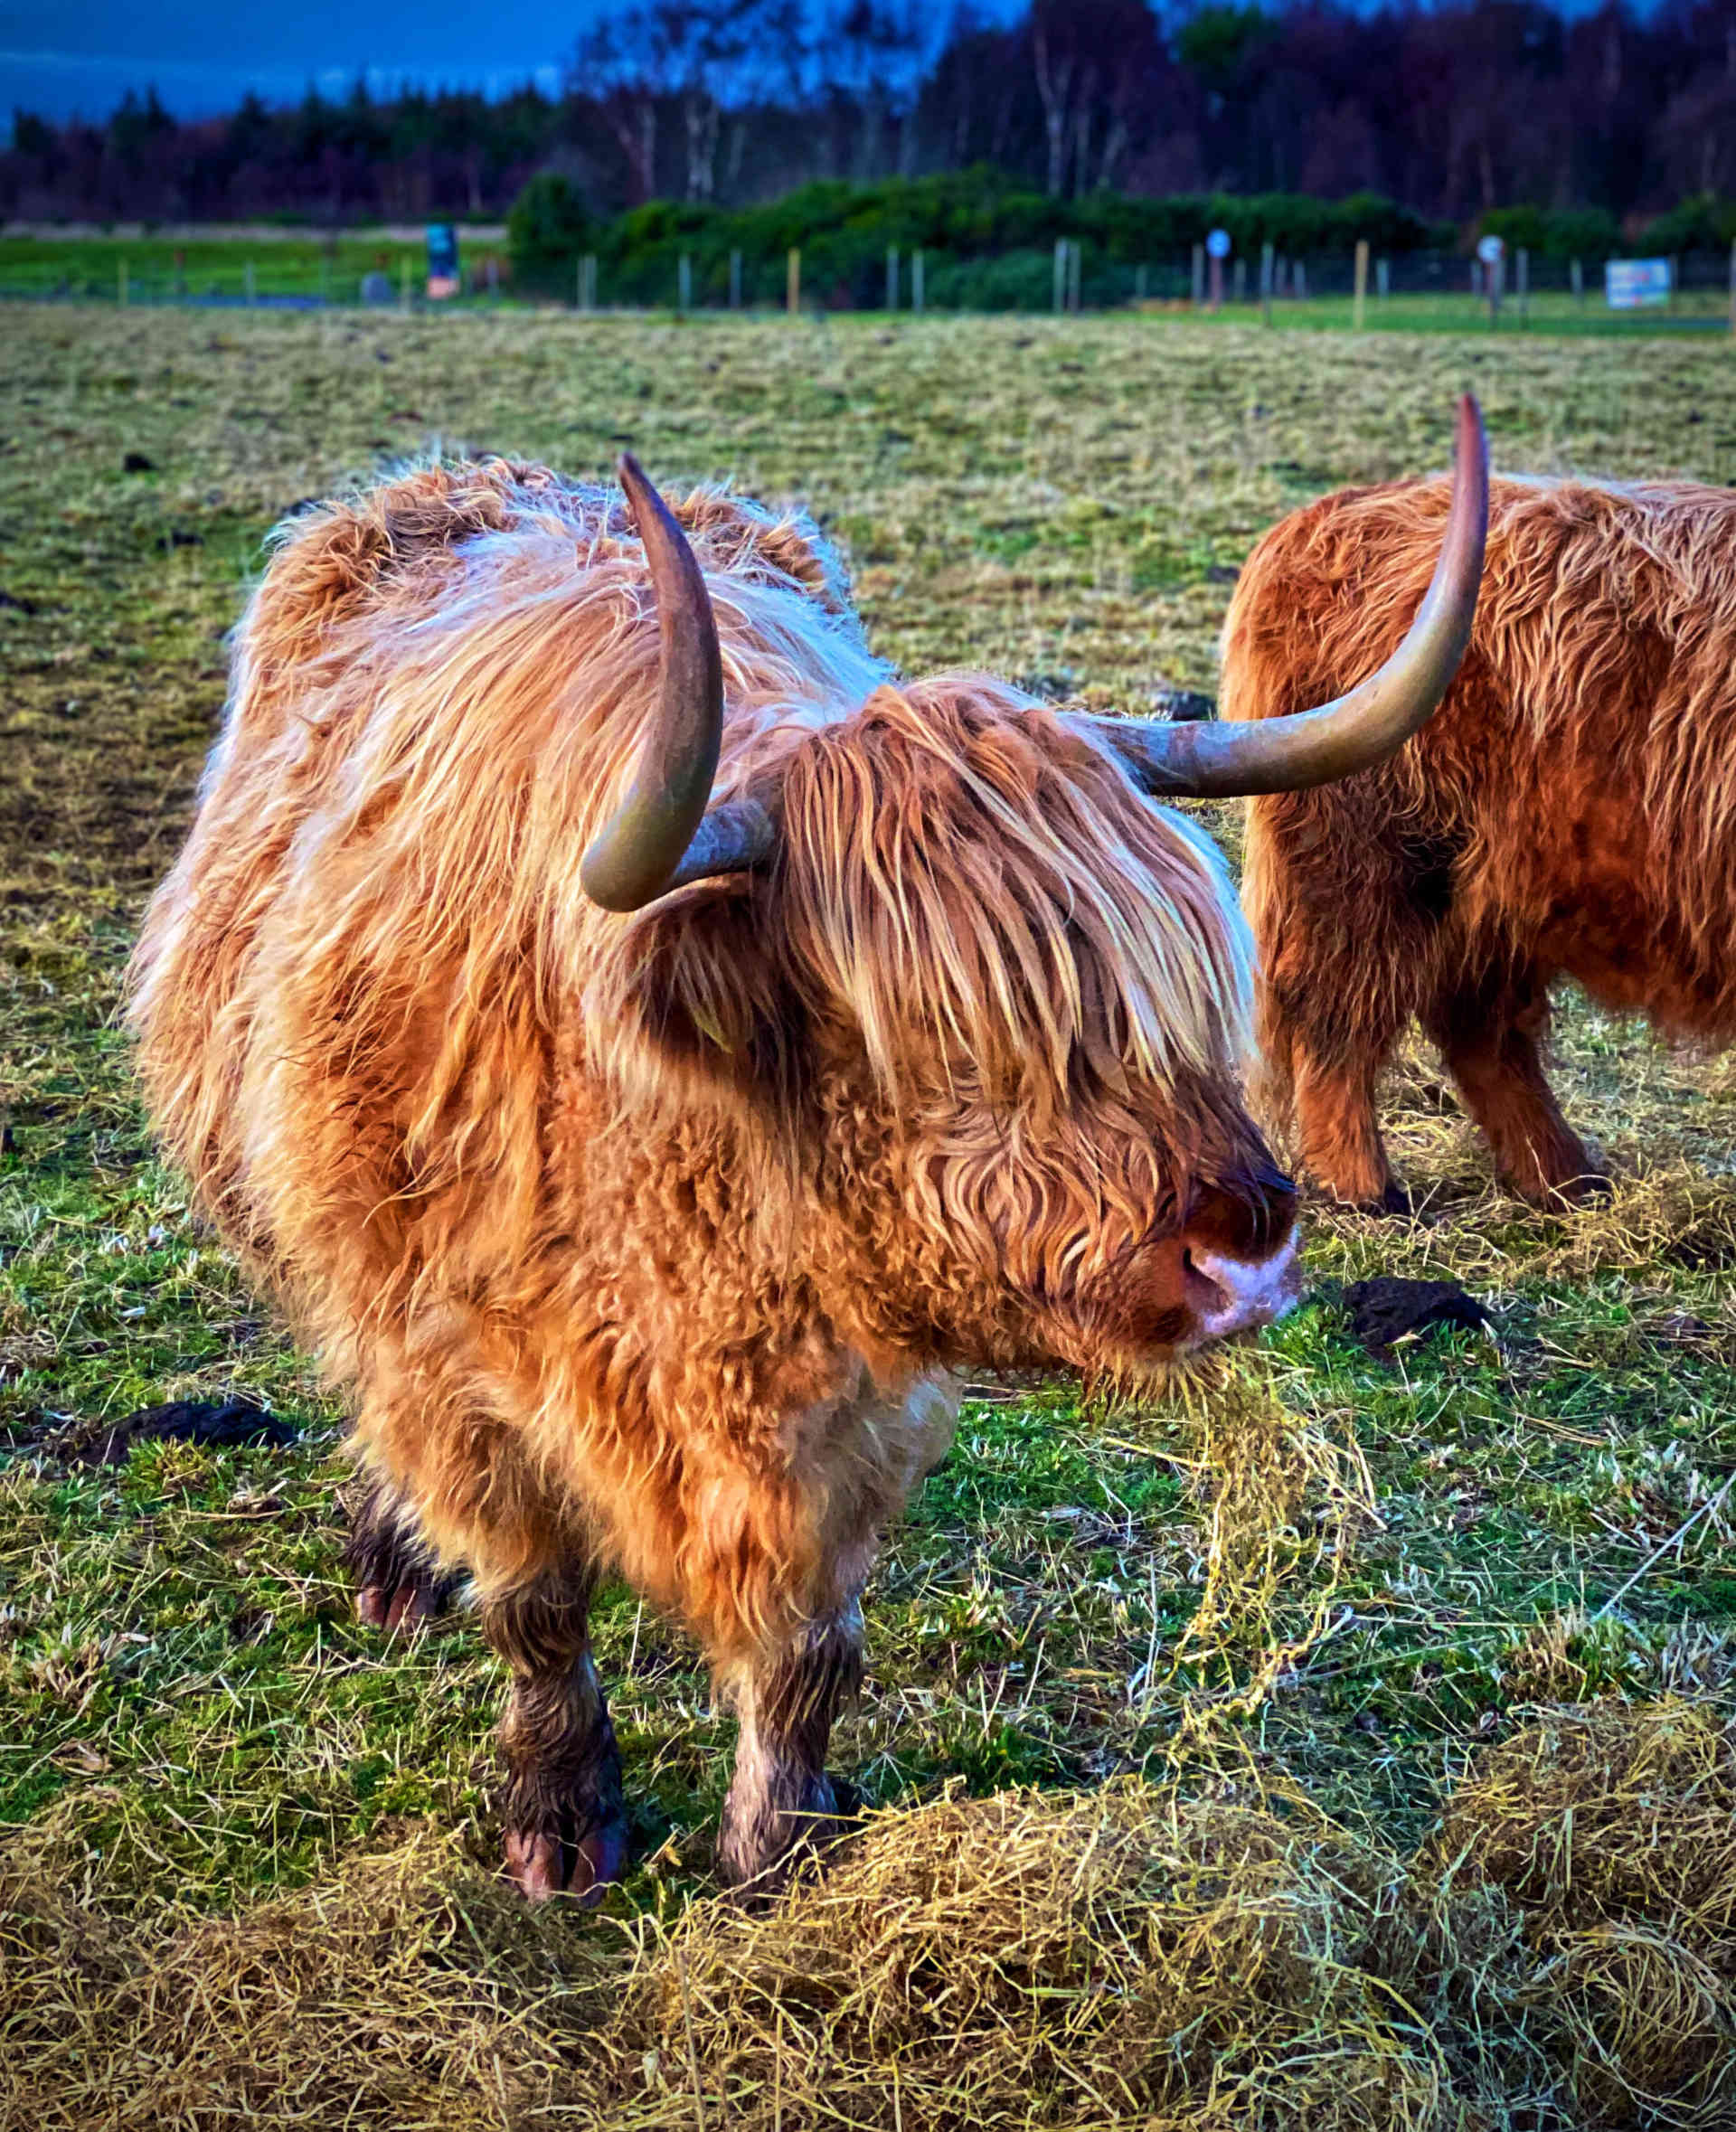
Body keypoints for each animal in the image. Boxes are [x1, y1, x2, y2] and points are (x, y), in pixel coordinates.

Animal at [128, 402, 1493, 1901]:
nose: (1244, 1248)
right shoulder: (457, 1367)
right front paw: (563, 1820)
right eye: (947, 1036)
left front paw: (779, 1840)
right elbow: (538, 1605)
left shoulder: (851, 1414)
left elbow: (808, 1641)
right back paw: (396, 1565)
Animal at [1220, 462, 1736, 1219]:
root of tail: (1330, 512)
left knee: (1477, 1023)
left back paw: (1564, 1181)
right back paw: (1363, 1189)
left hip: (1498, 881)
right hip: (1372, 858)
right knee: (1336, 1003)